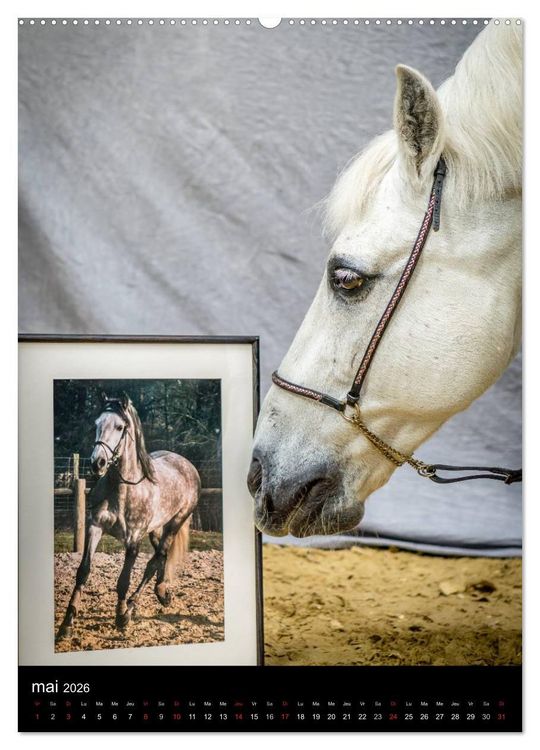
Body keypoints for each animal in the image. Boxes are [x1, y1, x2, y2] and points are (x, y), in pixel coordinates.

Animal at [56, 392, 200, 639]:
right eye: (97, 424)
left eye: (120, 427)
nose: (97, 463)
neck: (122, 488)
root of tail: (187, 464)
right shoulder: (95, 527)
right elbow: (83, 571)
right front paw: (66, 624)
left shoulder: (133, 540)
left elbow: (123, 580)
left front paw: (121, 616)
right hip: (156, 529)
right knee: (161, 557)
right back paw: (162, 593)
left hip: (175, 522)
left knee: (155, 561)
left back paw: (132, 606)